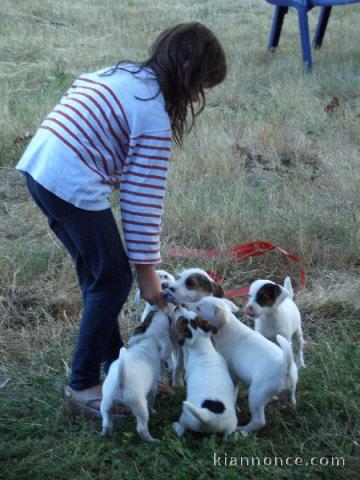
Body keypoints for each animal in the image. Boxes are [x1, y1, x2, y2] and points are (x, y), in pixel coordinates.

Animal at [100, 308, 173, 442]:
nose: (157, 308)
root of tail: (121, 379)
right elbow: (151, 401)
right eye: (169, 320)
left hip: (106, 403)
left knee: (107, 422)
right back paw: (152, 440)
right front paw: (154, 410)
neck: (148, 338)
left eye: (149, 316)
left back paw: (106, 434)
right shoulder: (153, 388)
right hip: (139, 406)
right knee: (141, 428)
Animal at [172, 306, 239, 440]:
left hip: (186, 416)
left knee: (181, 429)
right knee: (227, 437)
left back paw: (175, 426)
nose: (178, 306)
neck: (203, 349)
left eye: (181, 320)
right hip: (231, 426)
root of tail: (208, 416)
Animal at [186, 294, 298, 436]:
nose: (183, 304)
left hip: (256, 395)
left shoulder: (232, 372)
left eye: (199, 308)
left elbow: (234, 389)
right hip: (290, 388)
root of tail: (285, 365)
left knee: (259, 421)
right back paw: (286, 407)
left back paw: (242, 430)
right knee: (292, 401)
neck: (228, 326)